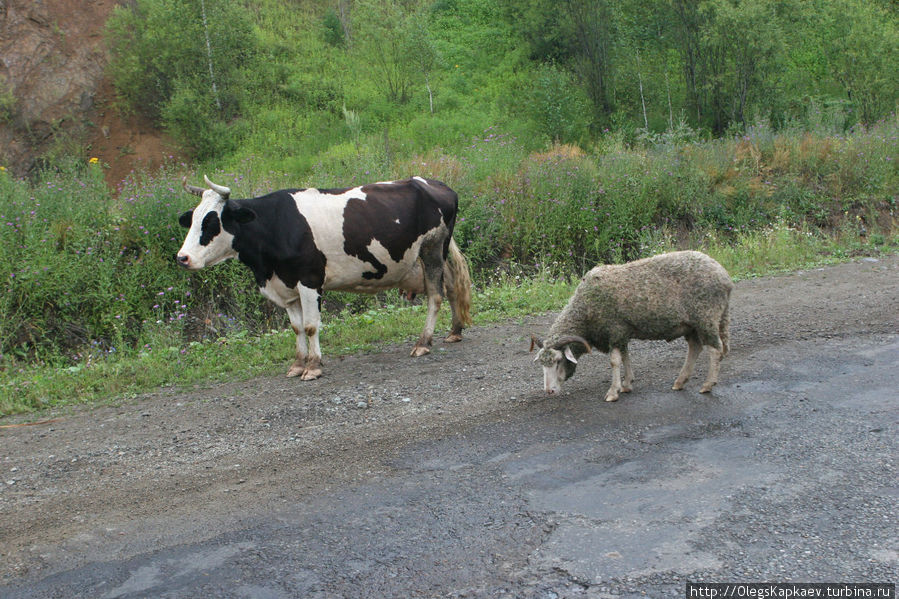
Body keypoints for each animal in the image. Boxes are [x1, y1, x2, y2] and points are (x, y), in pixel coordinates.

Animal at [175, 176, 472, 380]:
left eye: (211, 222)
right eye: (192, 220)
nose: (183, 258)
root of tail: (434, 183)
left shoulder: (309, 279)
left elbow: (310, 326)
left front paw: (314, 366)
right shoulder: (285, 286)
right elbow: (296, 328)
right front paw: (298, 364)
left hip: (432, 249)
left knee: (435, 295)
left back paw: (423, 343)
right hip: (434, 254)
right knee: (451, 287)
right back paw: (454, 331)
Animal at [532, 251, 736, 400]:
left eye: (558, 361)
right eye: (541, 364)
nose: (549, 391)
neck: (585, 310)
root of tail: (725, 276)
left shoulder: (614, 330)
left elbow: (615, 361)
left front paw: (613, 392)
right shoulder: (622, 332)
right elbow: (625, 356)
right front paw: (627, 384)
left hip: (706, 317)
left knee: (715, 350)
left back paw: (707, 385)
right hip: (692, 324)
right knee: (695, 347)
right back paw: (680, 381)